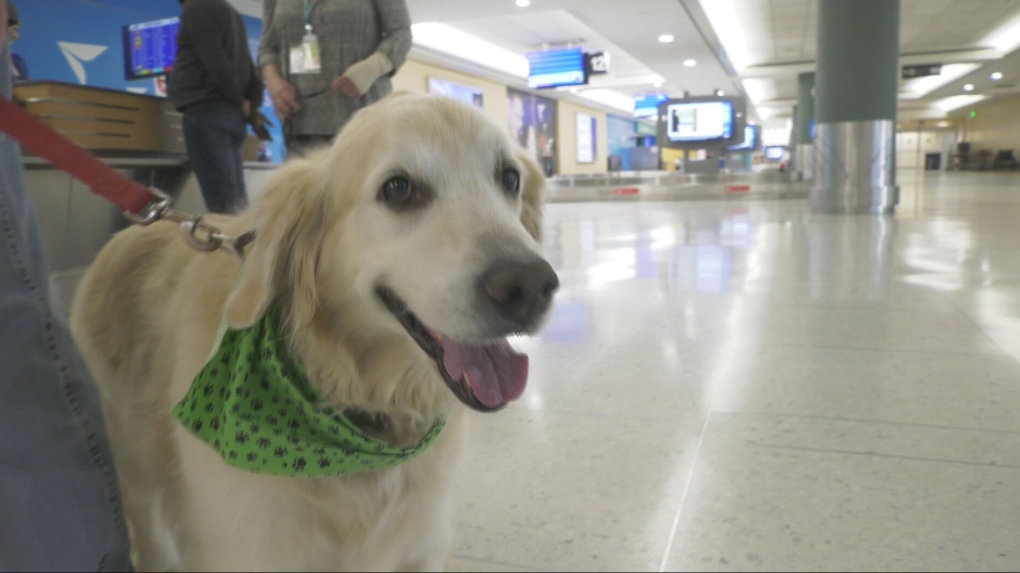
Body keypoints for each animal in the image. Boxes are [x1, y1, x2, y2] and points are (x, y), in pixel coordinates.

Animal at [70, 91, 558, 566]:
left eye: (508, 178)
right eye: (399, 189)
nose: (531, 286)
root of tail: (139, 224)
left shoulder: (422, 546)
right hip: (132, 460)